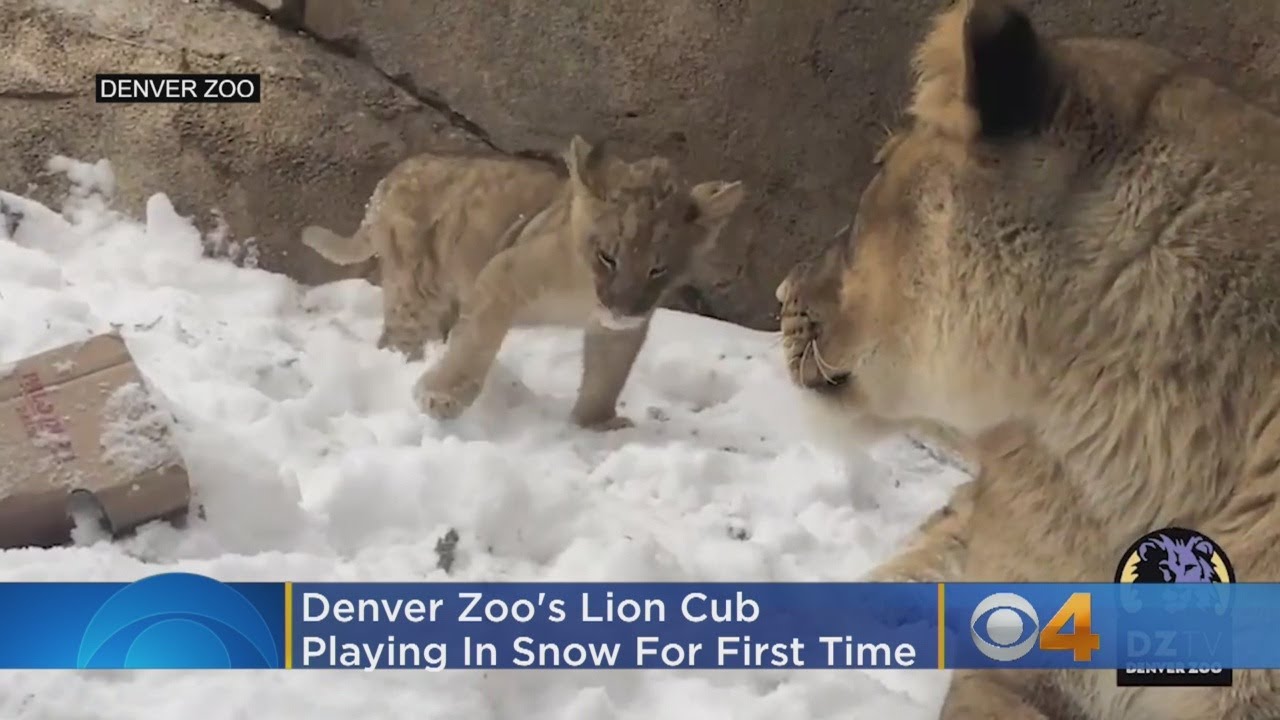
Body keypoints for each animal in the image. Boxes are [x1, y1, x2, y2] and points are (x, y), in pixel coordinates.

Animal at [302, 137, 745, 429]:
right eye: (608, 256)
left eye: (658, 269)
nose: (621, 308)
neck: (585, 292)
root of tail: (389, 179)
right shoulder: (502, 273)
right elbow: (476, 342)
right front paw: (441, 396)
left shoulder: (620, 329)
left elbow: (608, 375)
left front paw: (596, 425)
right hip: (418, 287)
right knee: (398, 336)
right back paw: (401, 365)